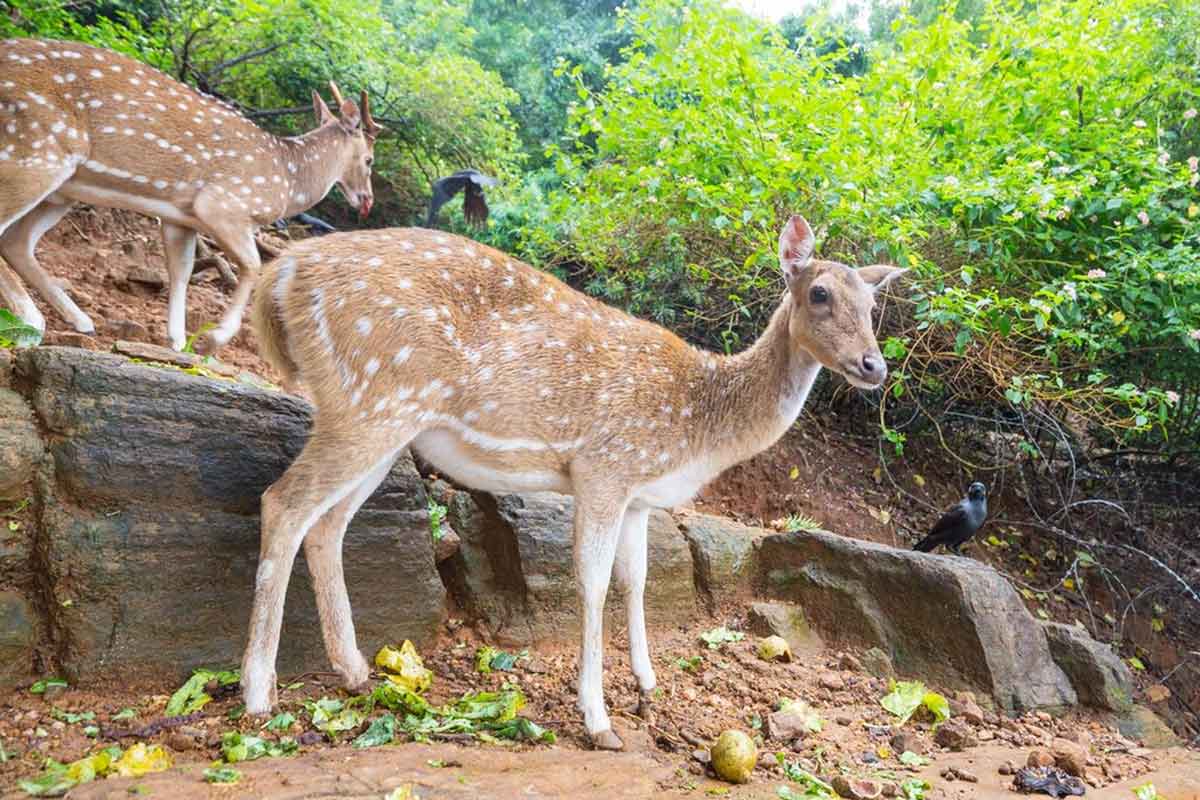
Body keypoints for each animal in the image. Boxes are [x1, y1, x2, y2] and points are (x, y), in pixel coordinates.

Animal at [0, 37, 382, 353]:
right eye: (369, 159)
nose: (367, 201)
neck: (287, 182)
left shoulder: (179, 217)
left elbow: (181, 272)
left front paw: (177, 340)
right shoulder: (223, 205)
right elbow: (254, 265)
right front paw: (213, 339)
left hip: (61, 191)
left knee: (17, 241)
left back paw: (80, 320)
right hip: (34, 154)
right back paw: (33, 324)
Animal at [244, 214, 905, 750]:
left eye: (874, 308)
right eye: (818, 292)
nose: (874, 366)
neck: (695, 431)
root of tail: (279, 275)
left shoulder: (639, 497)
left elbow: (637, 581)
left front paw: (646, 686)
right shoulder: (603, 468)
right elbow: (591, 582)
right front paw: (598, 719)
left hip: (384, 423)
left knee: (327, 524)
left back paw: (355, 671)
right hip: (370, 399)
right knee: (282, 503)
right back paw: (258, 691)